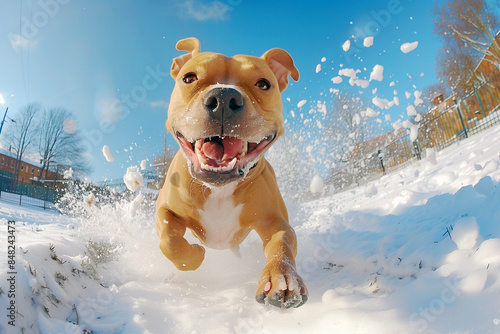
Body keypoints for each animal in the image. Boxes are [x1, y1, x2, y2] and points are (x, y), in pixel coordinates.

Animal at [155, 37, 308, 308]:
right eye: (189, 78)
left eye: (263, 84)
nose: (224, 98)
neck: (219, 188)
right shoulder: (165, 208)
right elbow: (170, 241)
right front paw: (195, 254)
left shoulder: (274, 221)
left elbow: (282, 242)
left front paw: (282, 278)